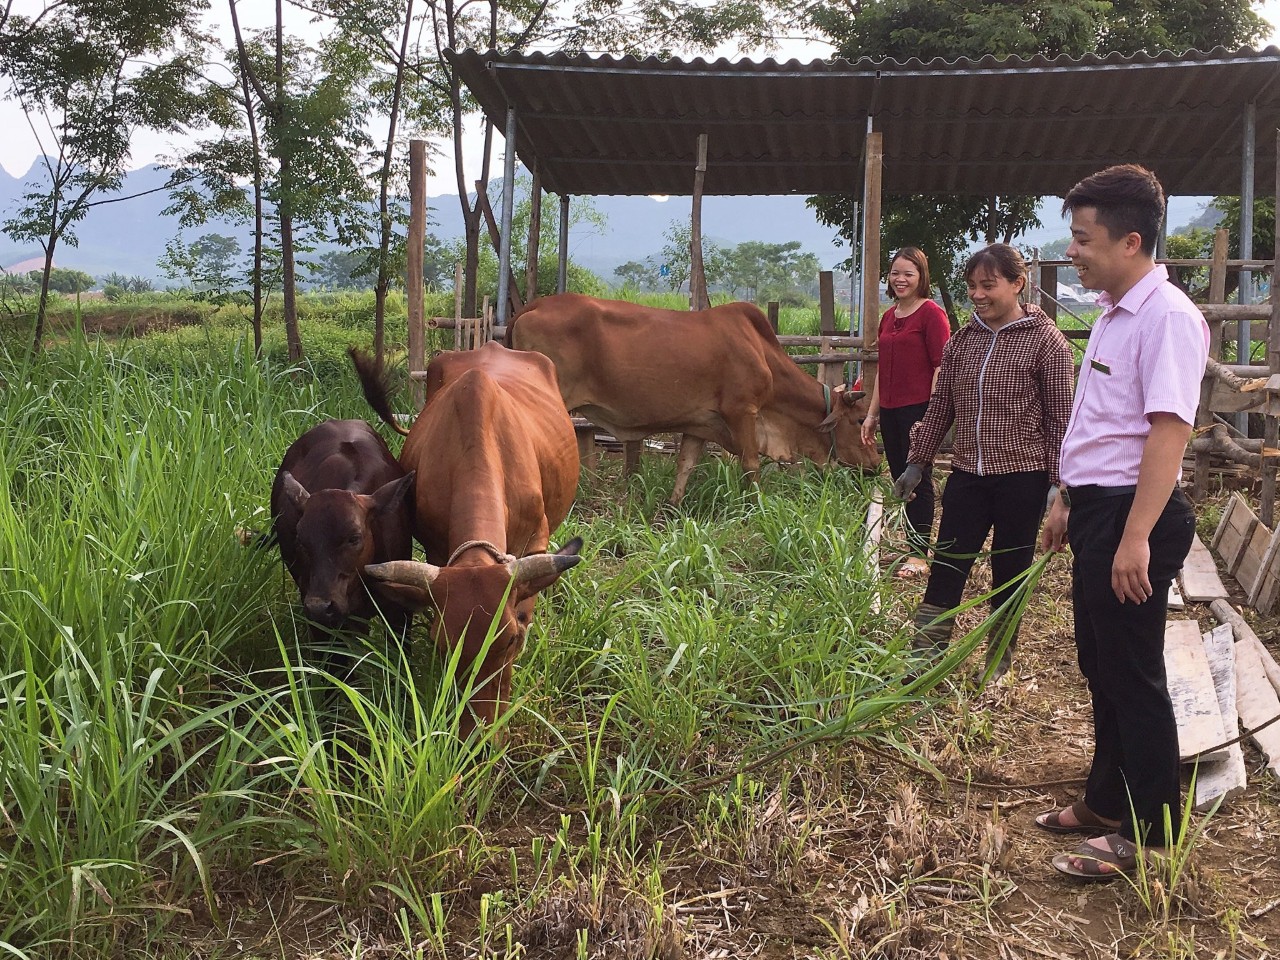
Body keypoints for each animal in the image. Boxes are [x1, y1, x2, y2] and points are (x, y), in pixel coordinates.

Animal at [506, 293, 880, 504]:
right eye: (860, 420)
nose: (877, 465)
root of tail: (534, 305)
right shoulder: (742, 412)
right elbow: (751, 465)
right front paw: (757, 506)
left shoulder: (700, 424)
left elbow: (685, 466)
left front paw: (672, 508)